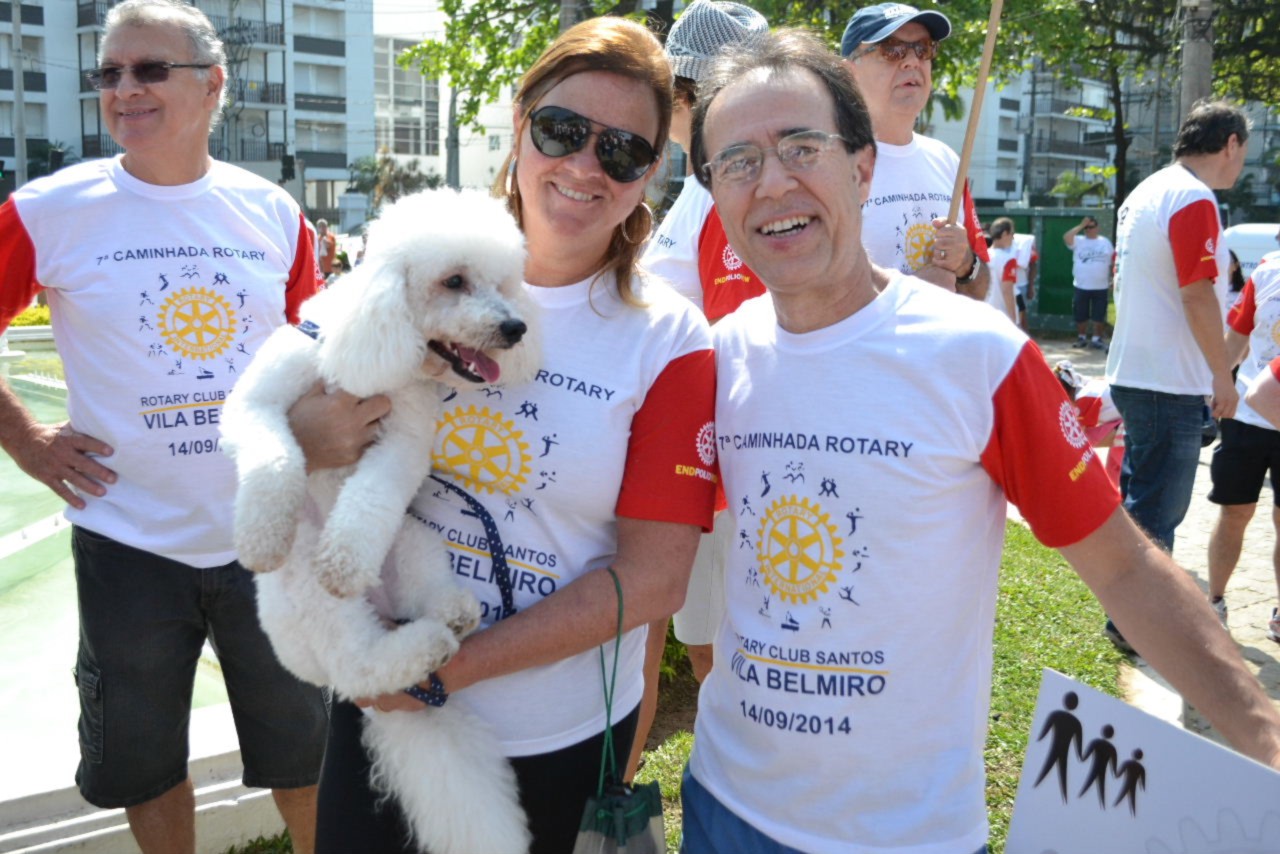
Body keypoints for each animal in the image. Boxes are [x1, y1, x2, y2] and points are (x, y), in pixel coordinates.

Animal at [221, 187, 537, 854]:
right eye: (453, 281)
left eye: (503, 284)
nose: (515, 327)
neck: (357, 355)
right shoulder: (254, 404)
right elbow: (275, 458)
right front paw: (261, 538)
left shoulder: (405, 440)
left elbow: (371, 496)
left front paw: (345, 560)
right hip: (312, 603)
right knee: (358, 666)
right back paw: (429, 638)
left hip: (412, 543)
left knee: (387, 646)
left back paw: (448, 620)